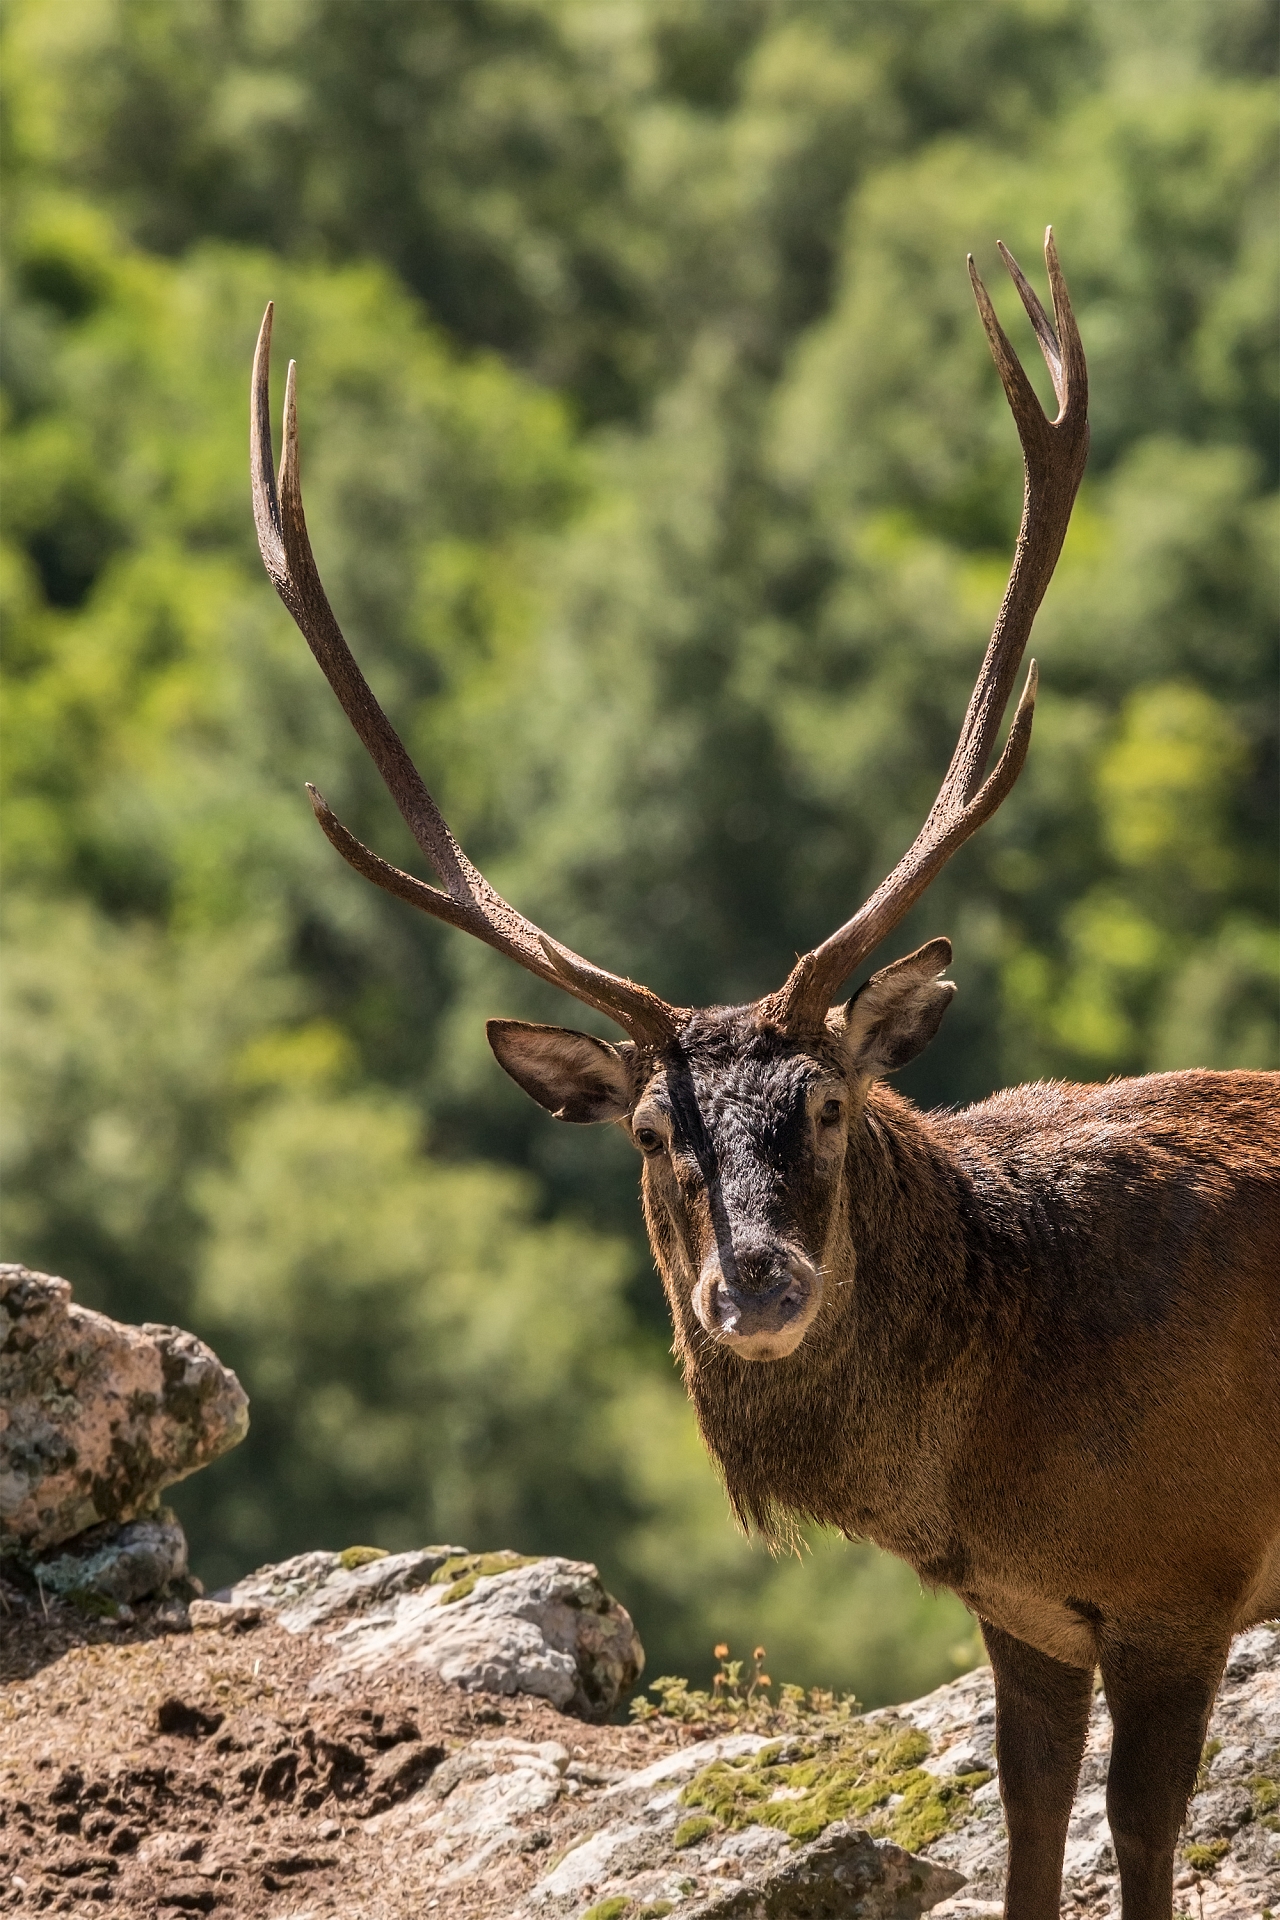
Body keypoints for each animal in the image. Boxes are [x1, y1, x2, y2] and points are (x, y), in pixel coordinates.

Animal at [249, 232, 1280, 1920]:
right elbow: (1030, 1840)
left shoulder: (1181, 1572)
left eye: (831, 1104)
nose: (755, 1285)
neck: (992, 1448)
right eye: (650, 1129)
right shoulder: (1028, 1613)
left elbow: (1137, 1848)